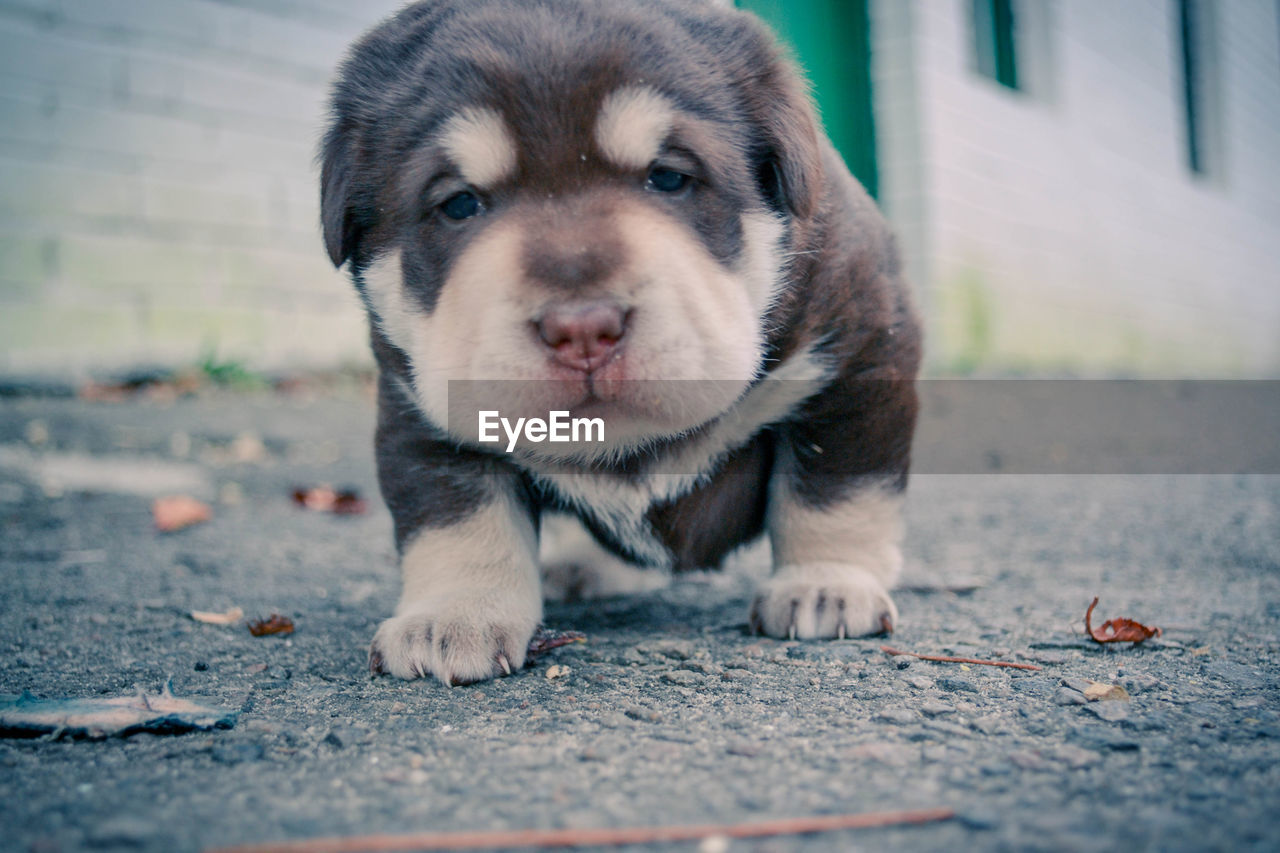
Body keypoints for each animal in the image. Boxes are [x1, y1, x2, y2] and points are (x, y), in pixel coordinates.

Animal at [320, 0, 921, 681]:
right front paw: (453, 615)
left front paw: (826, 585)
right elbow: (458, 518)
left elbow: (837, 489)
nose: (582, 327)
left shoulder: (859, 359)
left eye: (669, 178)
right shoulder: (424, 411)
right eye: (459, 204)